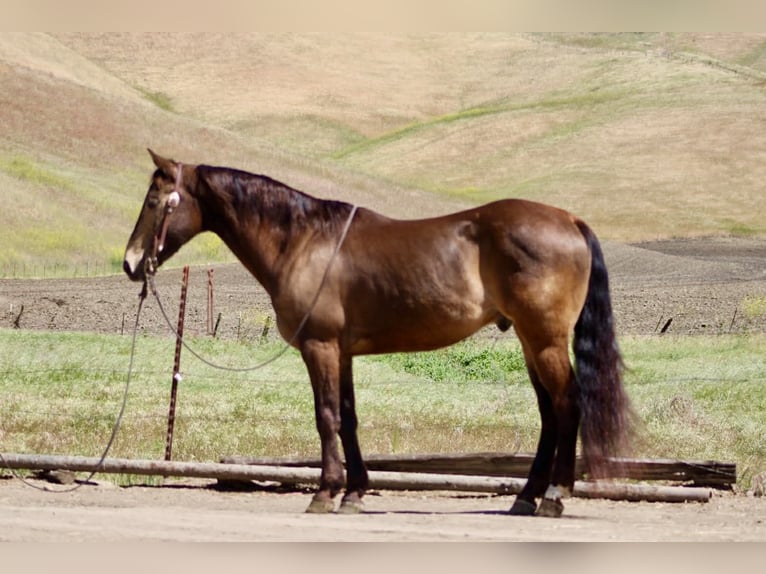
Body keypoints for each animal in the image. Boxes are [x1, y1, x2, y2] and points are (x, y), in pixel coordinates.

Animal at [123, 150, 632, 517]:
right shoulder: (342, 353)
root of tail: (569, 220)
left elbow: (326, 415)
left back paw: (555, 496)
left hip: (544, 341)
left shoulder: (320, 347)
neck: (304, 242)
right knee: (549, 413)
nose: (130, 264)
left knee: (568, 405)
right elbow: (347, 417)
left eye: (153, 201)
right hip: (531, 342)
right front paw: (354, 493)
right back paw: (526, 497)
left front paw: (324, 493)